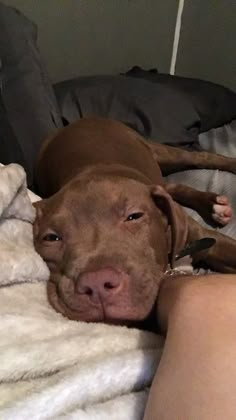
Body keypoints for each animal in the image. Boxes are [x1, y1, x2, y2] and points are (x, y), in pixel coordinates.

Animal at [33, 116, 236, 326]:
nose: (97, 284)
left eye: (134, 216)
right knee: (172, 186)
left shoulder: (209, 241)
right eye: (51, 238)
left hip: (158, 150)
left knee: (199, 157)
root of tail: (74, 123)